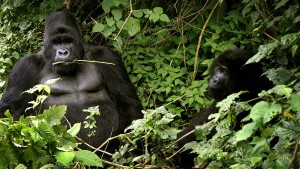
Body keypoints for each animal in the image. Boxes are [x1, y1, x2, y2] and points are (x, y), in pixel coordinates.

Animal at [0, 10, 142, 152]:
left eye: (68, 41)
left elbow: (126, 101)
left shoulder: (108, 57)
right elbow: (12, 109)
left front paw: (122, 140)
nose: (63, 52)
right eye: (56, 43)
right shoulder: (25, 67)